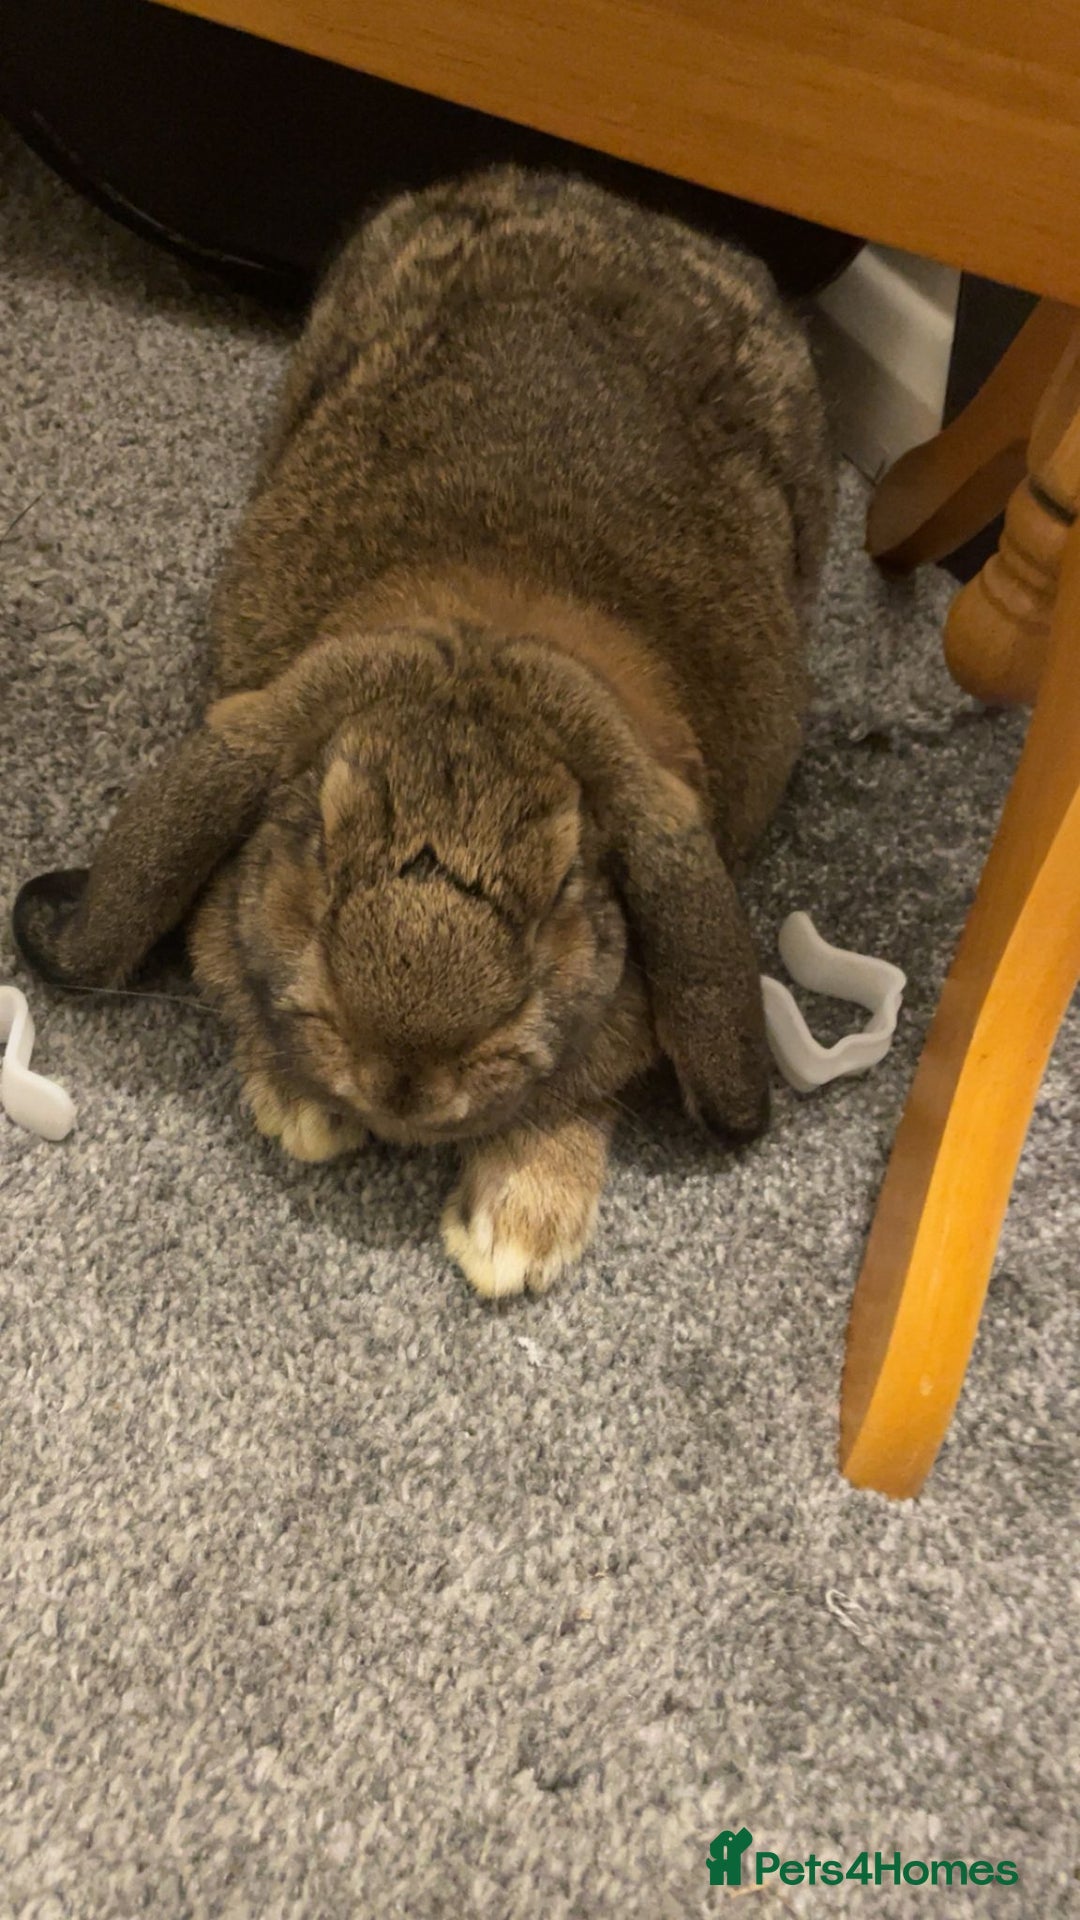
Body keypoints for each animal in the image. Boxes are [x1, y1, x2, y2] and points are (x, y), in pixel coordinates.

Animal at [14, 165, 832, 1298]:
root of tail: (604, 202)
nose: (401, 1074)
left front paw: (517, 1232)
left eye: (565, 889)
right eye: (314, 847)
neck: (493, 632)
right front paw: (301, 1112)